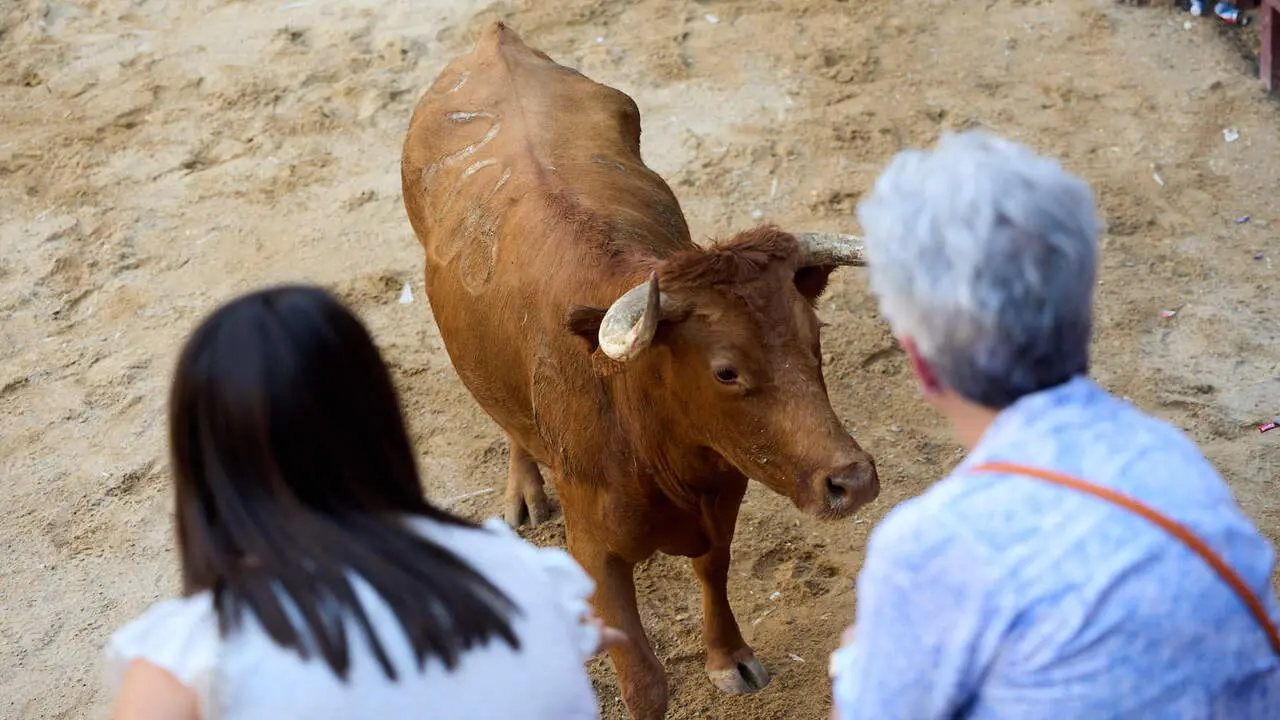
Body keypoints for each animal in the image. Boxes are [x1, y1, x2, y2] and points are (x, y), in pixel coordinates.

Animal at [401, 22, 880, 720]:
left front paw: (729, 657)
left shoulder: (723, 496)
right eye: (725, 372)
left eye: (813, 338)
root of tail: (496, 38)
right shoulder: (594, 552)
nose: (854, 480)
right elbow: (645, 682)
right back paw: (523, 493)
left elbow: (714, 570)